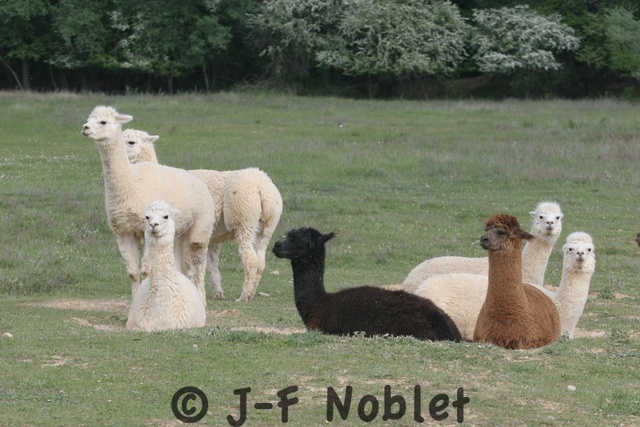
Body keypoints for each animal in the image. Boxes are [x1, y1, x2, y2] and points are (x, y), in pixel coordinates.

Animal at [81, 106, 215, 307]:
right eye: (89, 118)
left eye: (103, 122)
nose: (85, 128)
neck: (131, 182)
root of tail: (198, 181)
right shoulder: (123, 230)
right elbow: (132, 272)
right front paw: (133, 303)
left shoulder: (146, 228)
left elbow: (145, 271)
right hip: (178, 233)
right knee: (180, 265)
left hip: (202, 225)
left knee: (197, 266)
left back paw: (201, 301)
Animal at [123, 128, 283, 302]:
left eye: (131, 142)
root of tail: (263, 187)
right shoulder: (210, 236)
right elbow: (211, 264)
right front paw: (218, 293)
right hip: (267, 226)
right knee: (260, 261)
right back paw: (251, 292)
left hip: (243, 218)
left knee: (250, 259)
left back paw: (244, 296)